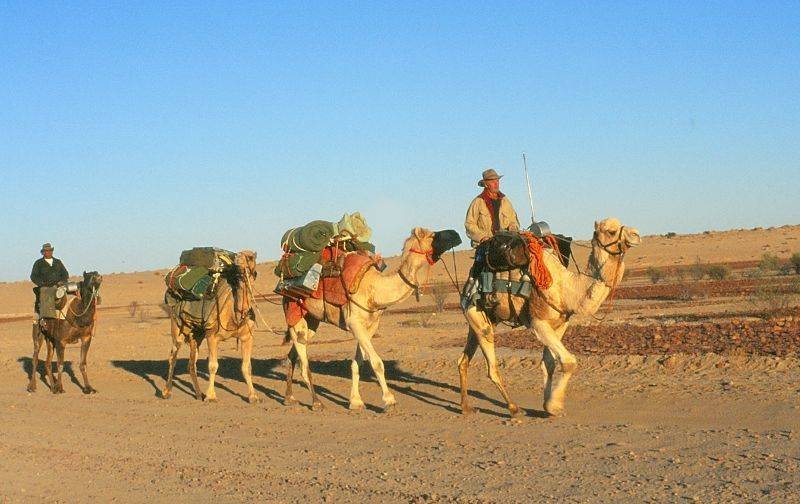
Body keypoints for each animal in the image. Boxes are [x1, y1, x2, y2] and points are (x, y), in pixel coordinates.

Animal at [162, 250, 260, 404]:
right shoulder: (212, 335)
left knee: (192, 361)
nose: (238, 259)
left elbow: (247, 367)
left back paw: (198, 394)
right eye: (239, 254)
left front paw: (253, 396)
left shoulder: (247, 336)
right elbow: (213, 366)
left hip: (197, 333)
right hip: (177, 324)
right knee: (173, 355)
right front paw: (211, 396)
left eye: (250, 257)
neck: (236, 314)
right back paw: (166, 392)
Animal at [282, 226, 460, 412]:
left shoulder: (370, 326)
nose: (456, 233)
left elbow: (356, 364)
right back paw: (316, 402)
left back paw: (289, 398)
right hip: (292, 310)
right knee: (303, 362)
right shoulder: (354, 323)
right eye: (433, 235)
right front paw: (389, 400)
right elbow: (377, 362)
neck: (375, 290)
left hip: (311, 319)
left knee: (293, 354)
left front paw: (355, 402)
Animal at [460, 218, 640, 418]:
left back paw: (466, 407)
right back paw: (514, 409)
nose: (636, 234)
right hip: (475, 312)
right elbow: (568, 362)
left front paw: (547, 406)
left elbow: (549, 364)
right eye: (610, 231)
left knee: (463, 360)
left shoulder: (560, 324)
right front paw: (555, 406)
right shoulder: (538, 322)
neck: (566, 288)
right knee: (491, 365)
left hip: (480, 318)